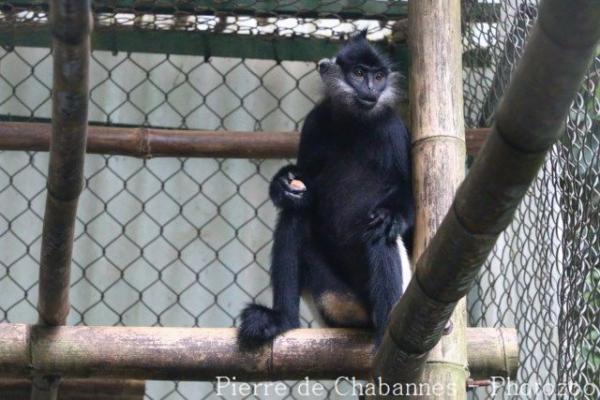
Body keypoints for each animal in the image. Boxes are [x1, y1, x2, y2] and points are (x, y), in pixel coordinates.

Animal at [237, 30, 414, 350]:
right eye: (359, 73)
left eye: (379, 76)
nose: (371, 88)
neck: (354, 124)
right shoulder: (314, 122)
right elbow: (303, 181)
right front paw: (282, 184)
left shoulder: (392, 128)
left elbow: (407, 202)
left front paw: (392, 215)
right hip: (332, 297)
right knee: (295, 214)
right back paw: (281, 320)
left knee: (380, 238)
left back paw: (386, 339)